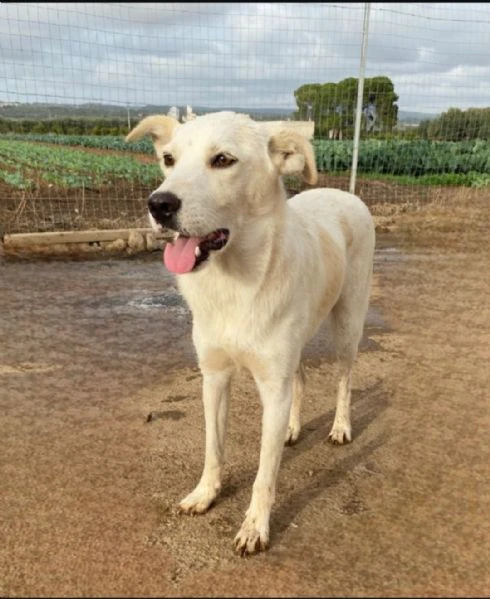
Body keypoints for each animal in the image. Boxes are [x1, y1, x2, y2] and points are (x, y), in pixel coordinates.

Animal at [126, 113, 376, 556]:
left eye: (223, 159)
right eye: (168, 159)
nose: (159, 204)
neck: (234, 285)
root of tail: (343, 193)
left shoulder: (272, 387)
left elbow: (265, 472)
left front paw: (255, 526)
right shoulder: (214, 376)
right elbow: (213, 447)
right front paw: (205, 494)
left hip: (348, 324)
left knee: (345, 378)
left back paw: (340, 427)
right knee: (302, 375)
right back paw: (293, 428)